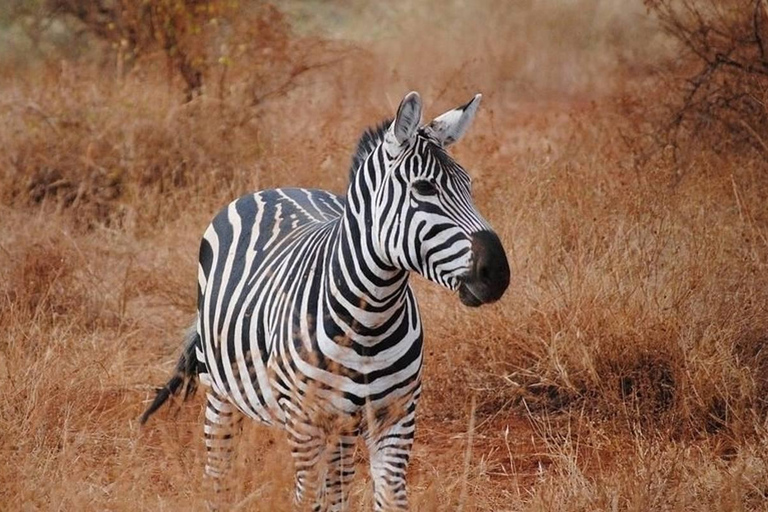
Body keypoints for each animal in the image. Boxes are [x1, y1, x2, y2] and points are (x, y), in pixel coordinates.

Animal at [140, 90, 510, 510]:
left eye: (469, 185)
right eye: (424, 189)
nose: (498, 272)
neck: (370, 321)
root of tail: (272, 189)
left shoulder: (396, 416)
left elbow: (388, 498)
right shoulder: (305, 422)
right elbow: (307, 499)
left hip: (343, 424)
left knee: (337, 486)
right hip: (221, 391)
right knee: (219, 467)